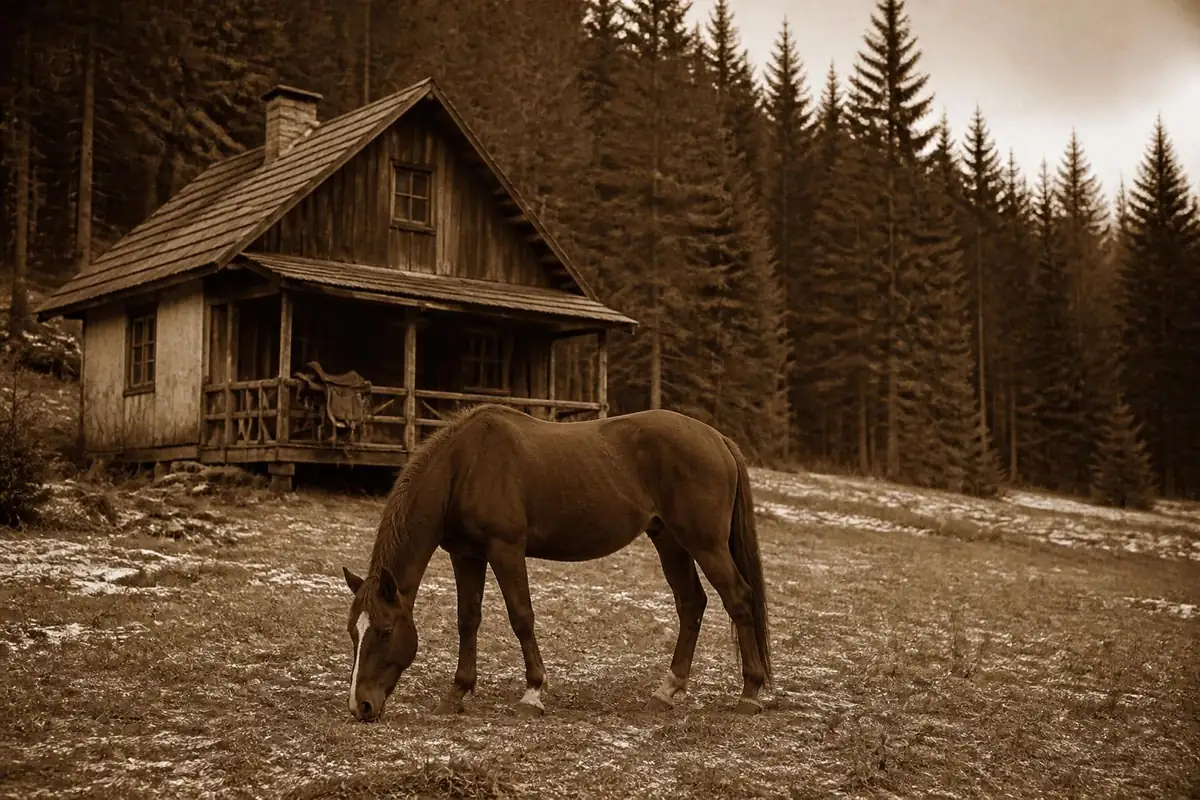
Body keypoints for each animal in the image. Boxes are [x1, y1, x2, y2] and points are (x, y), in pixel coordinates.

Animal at [340, 403, 772, 722]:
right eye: (352, 632)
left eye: (383, 630)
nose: (361, 706)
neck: (464, 466)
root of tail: (717, 439)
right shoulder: (466, 555)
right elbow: (468, 620)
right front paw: (456, 693)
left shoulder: (506, 550)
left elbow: (521, 617)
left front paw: (532, 694)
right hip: (670, 540)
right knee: (691, 604)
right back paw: (666, 692)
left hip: (705, 543)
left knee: (738, 598)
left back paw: (749, 693)